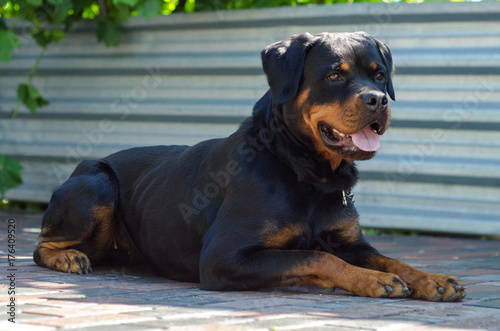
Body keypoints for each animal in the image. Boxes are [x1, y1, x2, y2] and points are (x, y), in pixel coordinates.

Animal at [34, 32, 464, 302]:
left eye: (379, 74)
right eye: (334, 74)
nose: (378, 100)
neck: (305, 169)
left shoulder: (349, 241)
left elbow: (389, 258)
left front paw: (431, 279)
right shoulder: (224, 257)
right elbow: (315, 256)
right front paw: (375, 281)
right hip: (96, 184)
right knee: (42, 246)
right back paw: (68, 257)